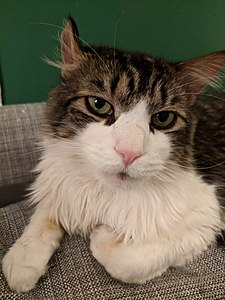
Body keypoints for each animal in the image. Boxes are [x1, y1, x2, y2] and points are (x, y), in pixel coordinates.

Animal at [2, 16, 225, 292]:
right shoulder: (61, 185)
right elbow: (47, 210)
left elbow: (125, 260)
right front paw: (23, 257)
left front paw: (103, 233)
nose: (129, 152)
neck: (103, 192)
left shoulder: (209, 214)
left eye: (163, 118)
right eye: (99, 105)